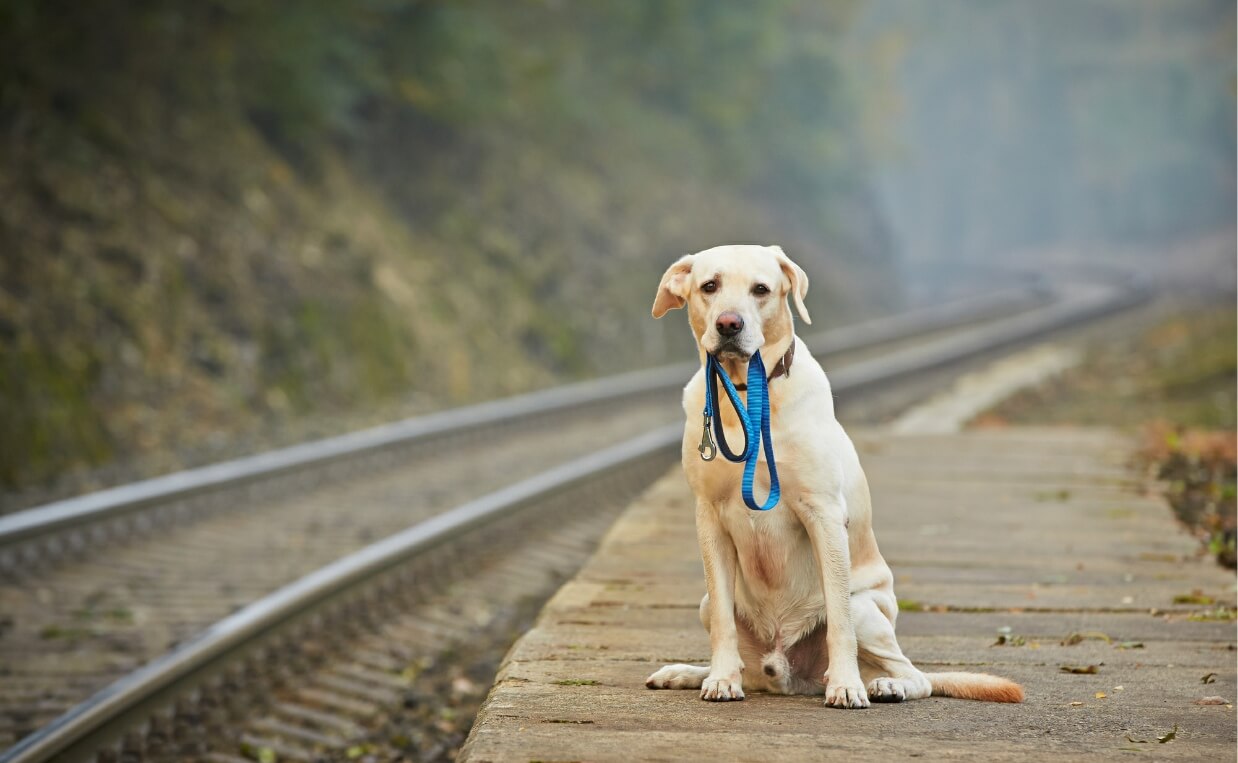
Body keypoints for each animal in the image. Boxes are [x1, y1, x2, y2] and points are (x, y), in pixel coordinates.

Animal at [643, 246, 1020, 708]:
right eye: (709, 286)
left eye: (761, 289)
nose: (729, 324)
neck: (748, 396)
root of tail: (787, 674)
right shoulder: (710, 517)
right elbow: (723, 623)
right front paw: (720, 679)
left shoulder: (823, 514)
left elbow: (839, 620)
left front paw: (845, 684)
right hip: (706, 606)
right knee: (735, 643)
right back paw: (689, 673)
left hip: (868, 611)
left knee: (915, 674)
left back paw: (884, 684)